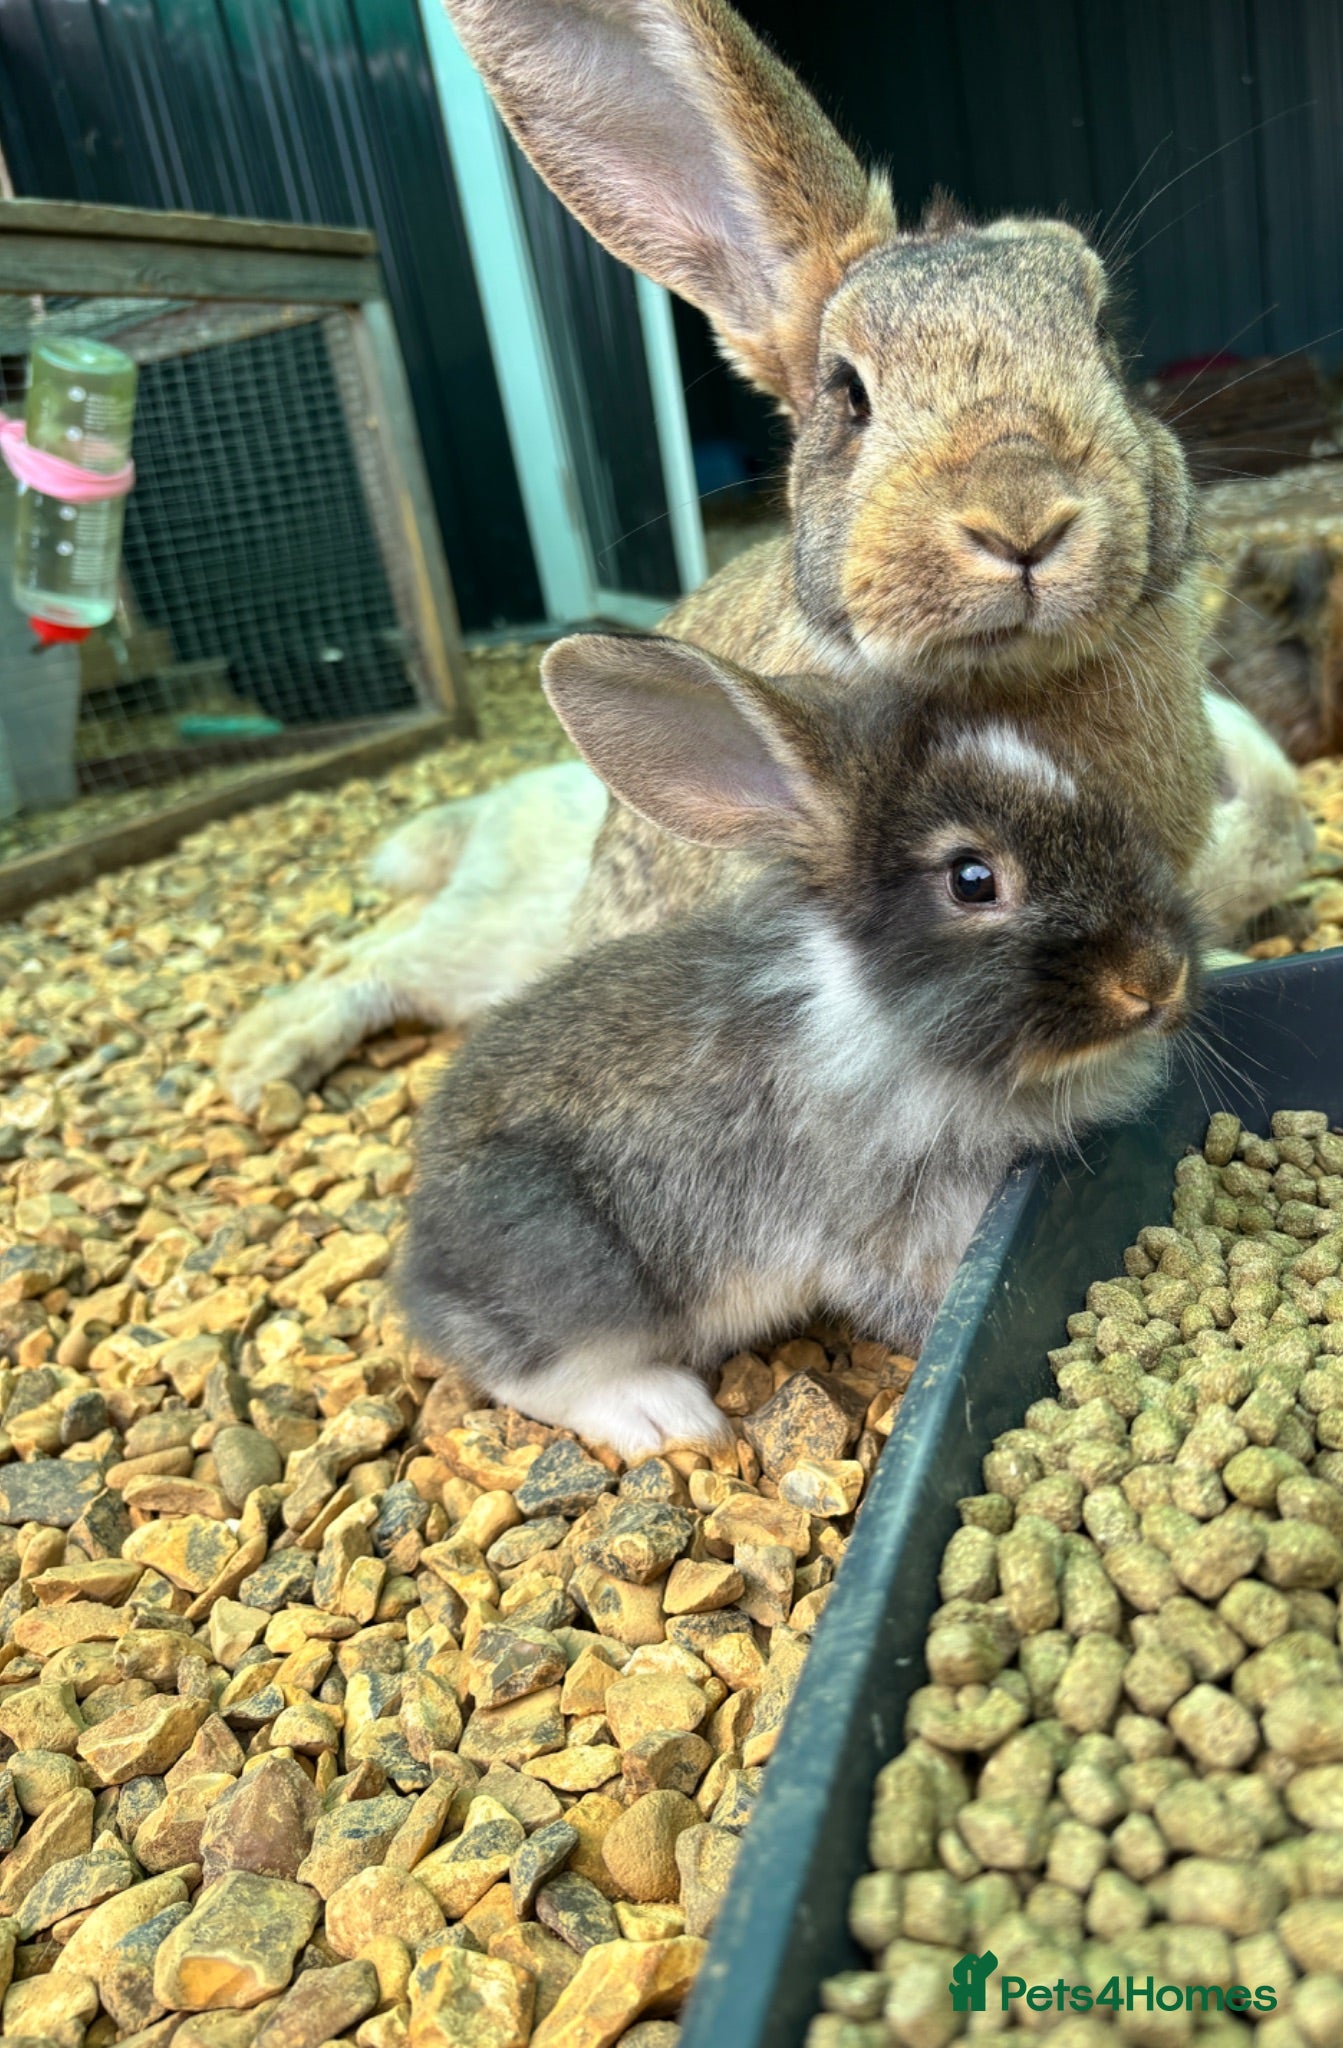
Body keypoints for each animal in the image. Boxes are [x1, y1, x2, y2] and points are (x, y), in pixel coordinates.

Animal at [399, 632, 1201, 1462]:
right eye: (971, 879)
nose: (1157, 976)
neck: (869, 1013)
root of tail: (421, 1254)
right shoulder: (884, 1235)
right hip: (575, 1270)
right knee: (522, 1368)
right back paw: (667, 1416)